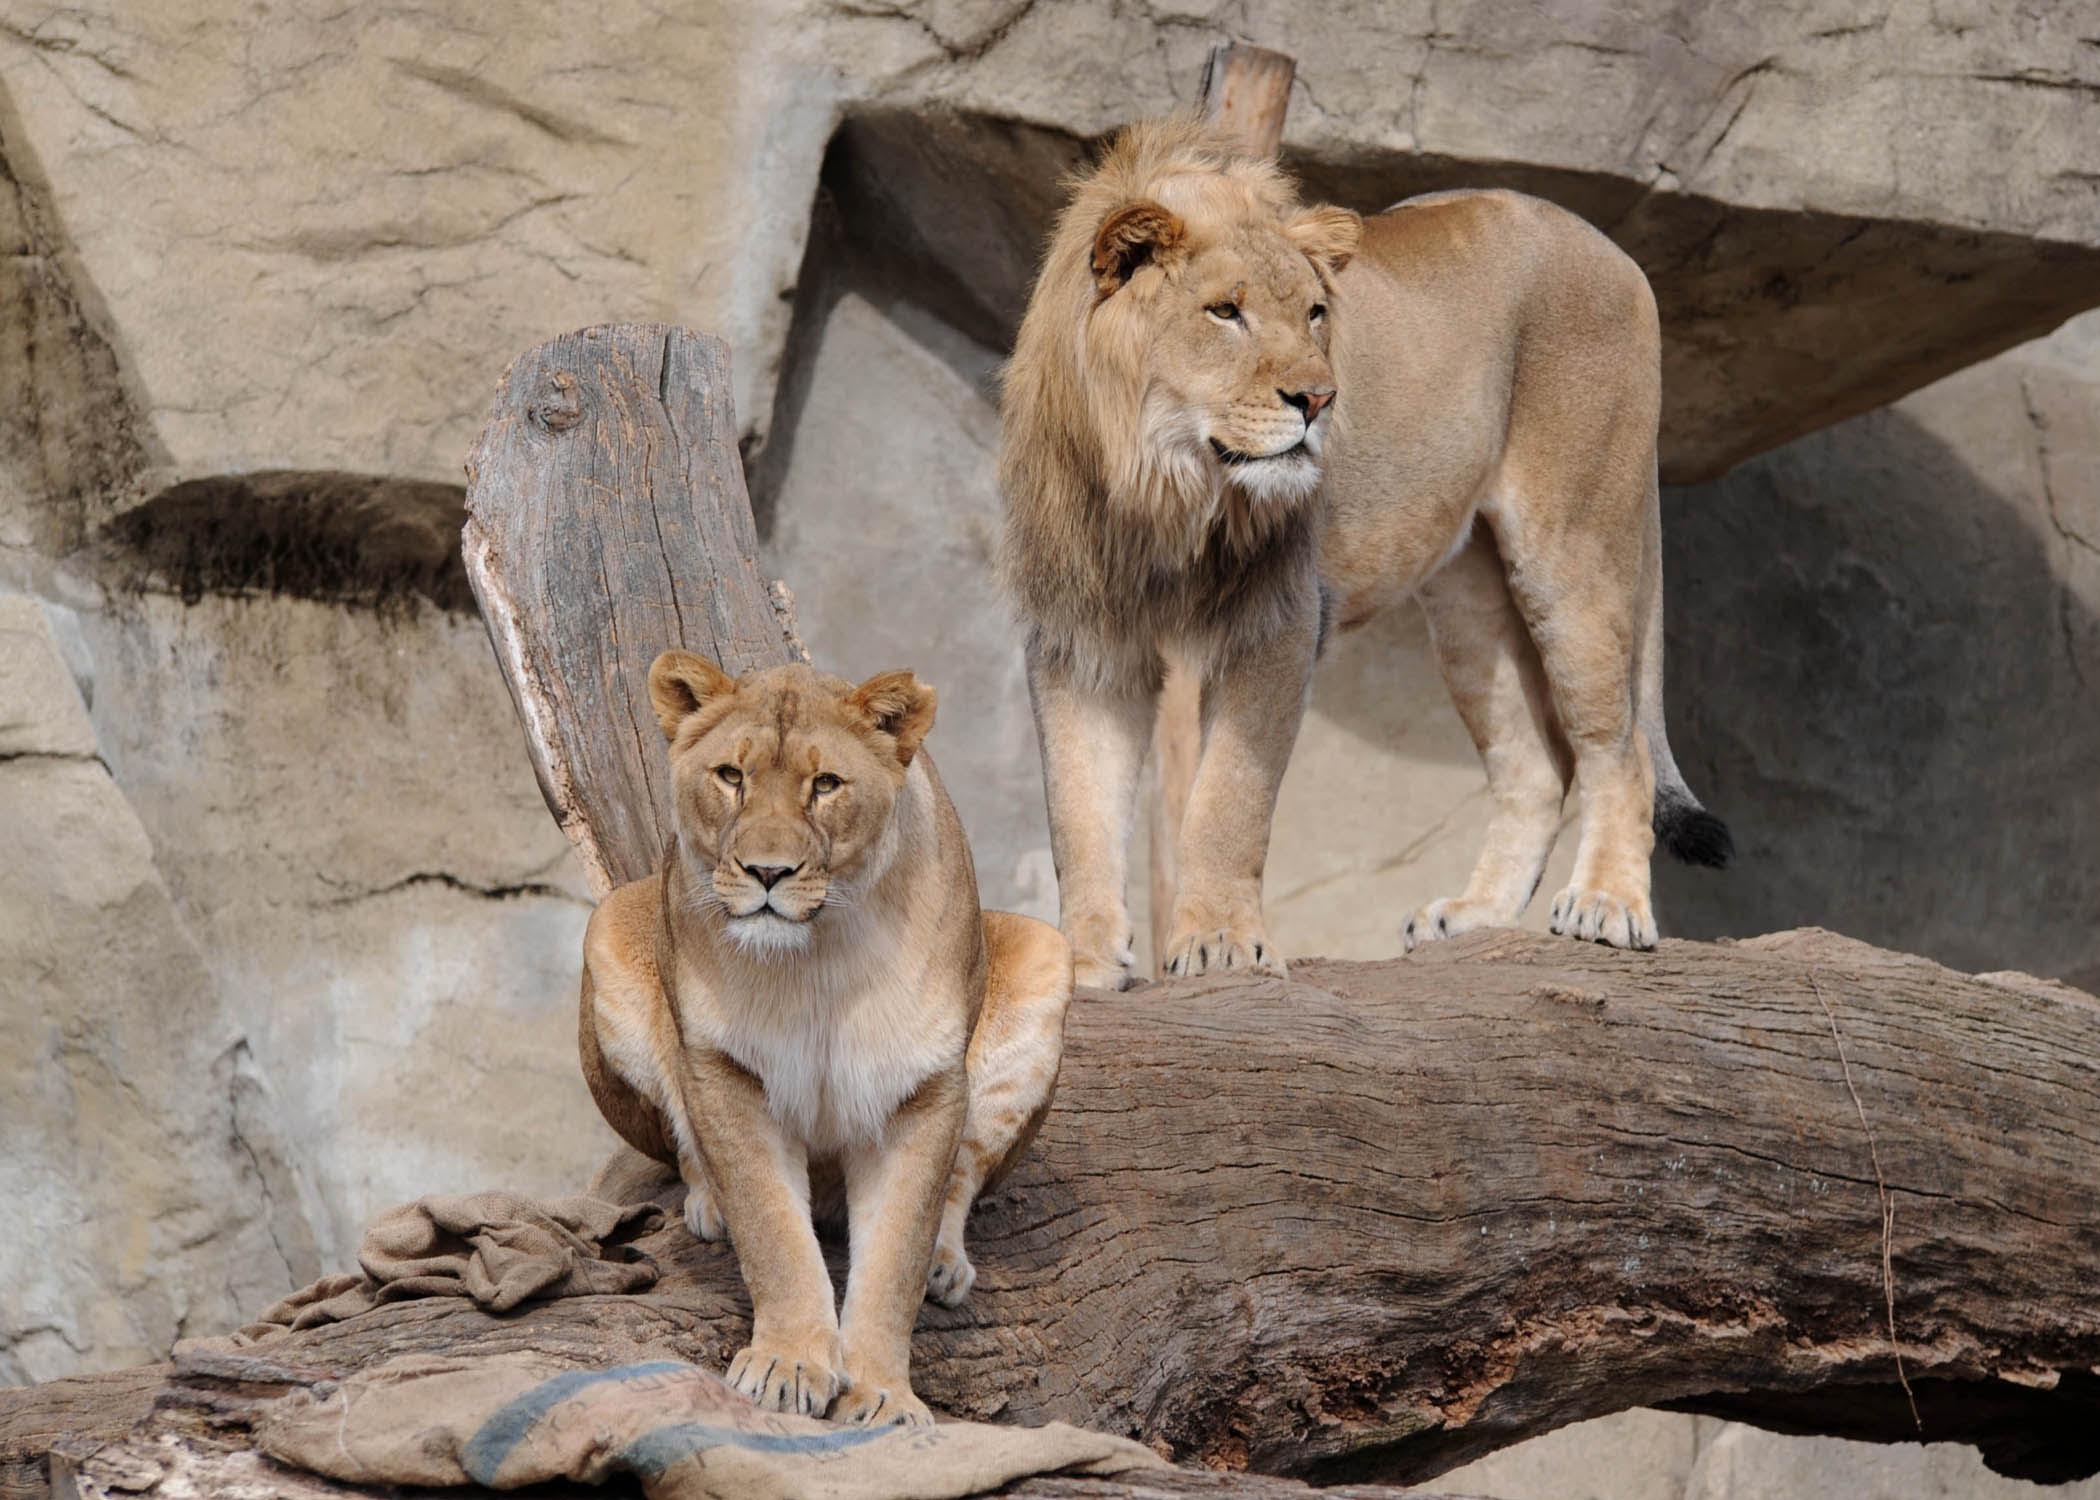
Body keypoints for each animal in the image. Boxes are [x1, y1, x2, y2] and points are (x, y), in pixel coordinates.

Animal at [999, 113, 1721, 983]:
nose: (1318, 399)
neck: (1165, 491)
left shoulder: (1280, 619)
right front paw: (1080, 960)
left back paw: (1608, 904)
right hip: (1470, 609)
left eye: (1315, 312)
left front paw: (1220, 940)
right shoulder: (1082, 640)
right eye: (1224, 312)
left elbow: (1228, 798)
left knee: (1618, 748)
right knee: (1538, 767)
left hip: (1576, 547)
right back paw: (1474, 918)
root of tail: (1613, 251)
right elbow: (1078, 813)